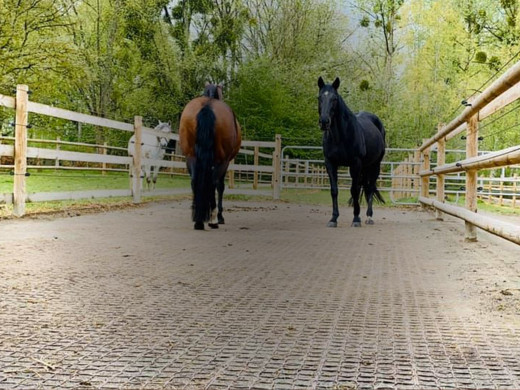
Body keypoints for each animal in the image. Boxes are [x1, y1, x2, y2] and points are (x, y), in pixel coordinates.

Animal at [179, 89, 242, 229]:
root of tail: (207, 105)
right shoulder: (224, 162)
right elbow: (220, 186)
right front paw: (220, 217)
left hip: (190, 157)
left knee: (194, 181)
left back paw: (198, 220)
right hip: (222, 161)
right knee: (213, 183)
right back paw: (212, 219)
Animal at [316, 76, 386, 227]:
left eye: (334, 98)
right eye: (319, 97)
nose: (324, 122)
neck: (340, 137)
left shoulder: (355, 163)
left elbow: (354, 190)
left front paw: (355, 219)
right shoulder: (330, 163)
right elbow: (334, 190)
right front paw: (333, 219)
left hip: (374, 166)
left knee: (370, 188)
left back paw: (368, 217)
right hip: (364, 167)